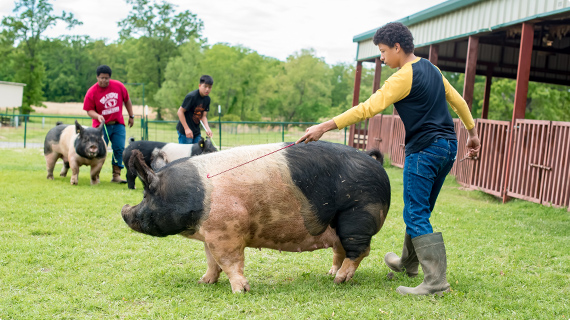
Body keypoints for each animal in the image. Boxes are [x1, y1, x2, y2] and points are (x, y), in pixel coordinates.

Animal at [121, 141, 388, 294]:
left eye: (146, 195)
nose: (123, 211)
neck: (196, 195)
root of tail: (375, 163)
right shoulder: (211, 233)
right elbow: (211, 261)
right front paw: (203, 282)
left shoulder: (227, 230)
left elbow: (229, 261)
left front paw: (240, 291)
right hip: (339, 227)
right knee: (341, 251)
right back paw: (331, 275)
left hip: (358, 216)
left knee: (360, 251)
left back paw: (339, 281)